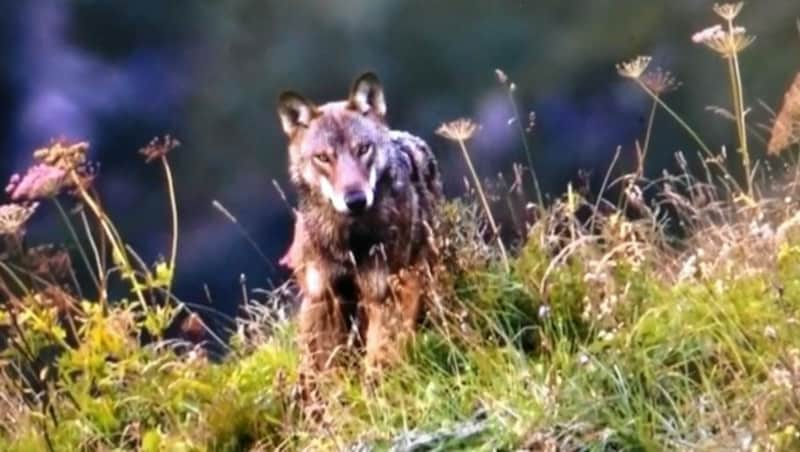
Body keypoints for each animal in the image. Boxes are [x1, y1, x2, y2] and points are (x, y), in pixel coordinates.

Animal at [276, 72, 440, 372]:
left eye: (363, 149)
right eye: (323, 157)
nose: (355, 200)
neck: (348, 241)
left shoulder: (384, 294)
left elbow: (379, 356)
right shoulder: (322, 296)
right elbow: (324, 365)